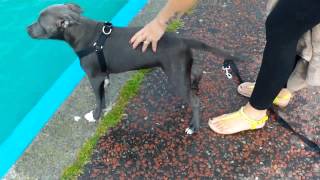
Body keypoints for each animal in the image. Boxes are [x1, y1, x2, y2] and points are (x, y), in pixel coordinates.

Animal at [26, 3, 238, 134]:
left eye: (40, 23)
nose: (26, 28)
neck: (83, 34)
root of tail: (183, 40)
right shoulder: (104, 76)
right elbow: (104, 96)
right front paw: (104, 111)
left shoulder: (94, 77)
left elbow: (98, 100)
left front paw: (95, 116)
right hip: (179, 69)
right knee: (196, 73)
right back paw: (195, 85)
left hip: (175, 76)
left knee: (195, 102)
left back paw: (193, 127)